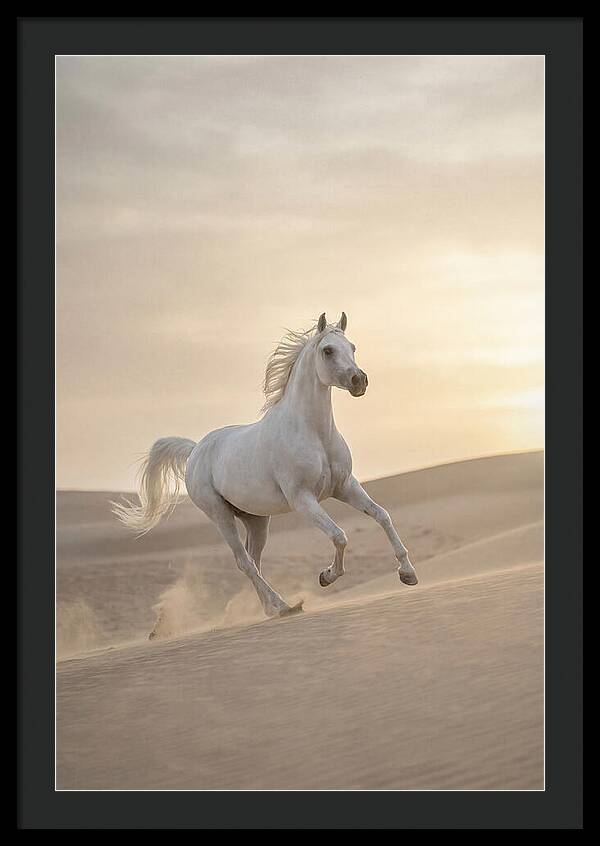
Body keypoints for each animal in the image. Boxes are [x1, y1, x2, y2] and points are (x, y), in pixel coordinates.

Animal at [112, 312, 418, 621]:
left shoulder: (345, 486)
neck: (314, 433)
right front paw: (327, 576)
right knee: (244, 562)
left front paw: (408, 574)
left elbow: (382, 515)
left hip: (256, 520)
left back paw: (271, 608)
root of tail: (196, 449)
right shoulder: (303, 499)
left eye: (353, 347)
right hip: (220, 515)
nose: (359, 381)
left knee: (254, 560)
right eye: (328, 350)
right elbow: (339, 536)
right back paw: (283, 606)